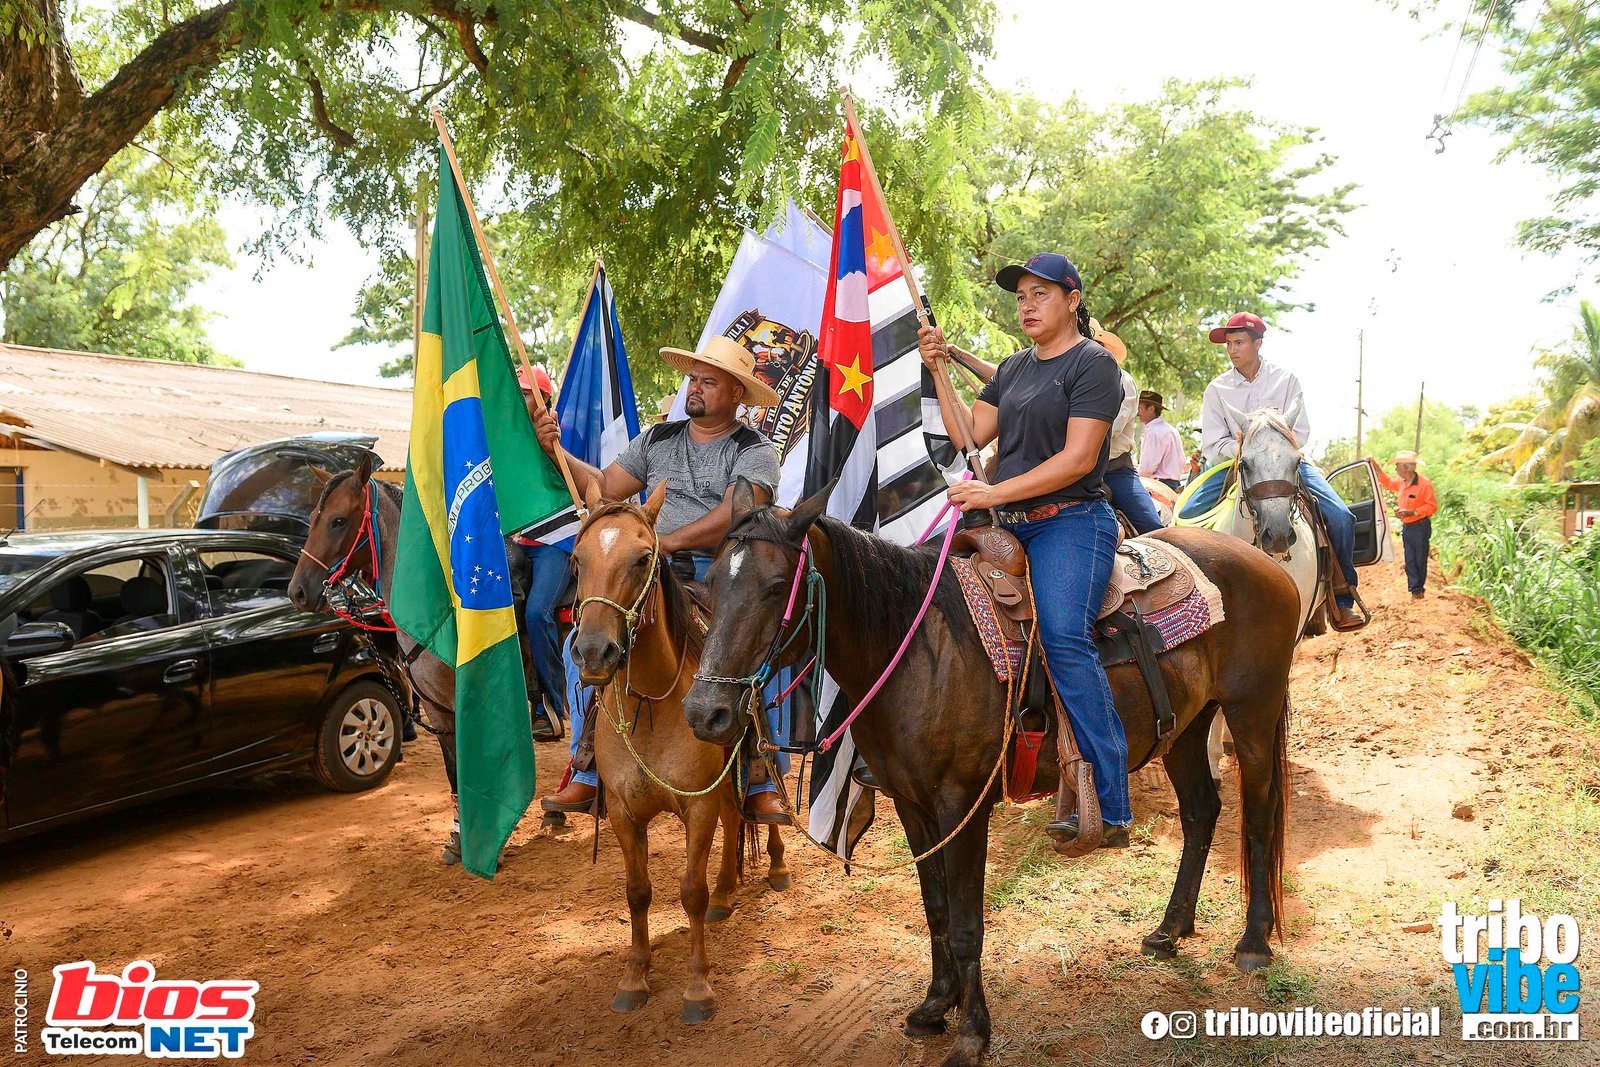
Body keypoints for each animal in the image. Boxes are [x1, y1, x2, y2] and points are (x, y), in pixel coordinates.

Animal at [286, 453, 465, 865]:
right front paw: (461, 841)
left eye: (338, 520)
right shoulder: (438, 709)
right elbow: (454, 770)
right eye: (312, 518)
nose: (297, 591)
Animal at [569, 480, 788, 1023]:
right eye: (577, 560)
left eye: (642, 558)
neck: (652, 702)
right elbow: (637, 893)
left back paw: (774, 865)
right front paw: (634, 977)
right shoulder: (624, 812)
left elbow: (690, 892)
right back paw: (727, 892)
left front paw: (697, 988)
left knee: (758, 807)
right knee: (735, 817)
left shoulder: (697, 806)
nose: (593, 652)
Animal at [683, 479, 1301, 1067]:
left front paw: (971, 1035)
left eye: (774, 586)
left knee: (1259, 816)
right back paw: (1170, 931)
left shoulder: (964, 804)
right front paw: (935, 1005)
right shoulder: (911, 803)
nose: (704, 713)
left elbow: (966, 923)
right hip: (1187, 726)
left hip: (1252, 714)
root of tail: (1265, 561)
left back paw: (1252, 941)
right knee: (1201, 811)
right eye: (708, 587)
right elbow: (936, 909)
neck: (919, 652)